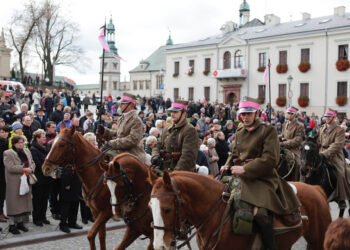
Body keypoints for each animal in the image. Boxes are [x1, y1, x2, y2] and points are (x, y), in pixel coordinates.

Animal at [147, 170, 330, 250]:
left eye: (167, 209)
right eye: (149, 206)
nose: (159, 245)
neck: (217, 216)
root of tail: (316, 189)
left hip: (318, 240)